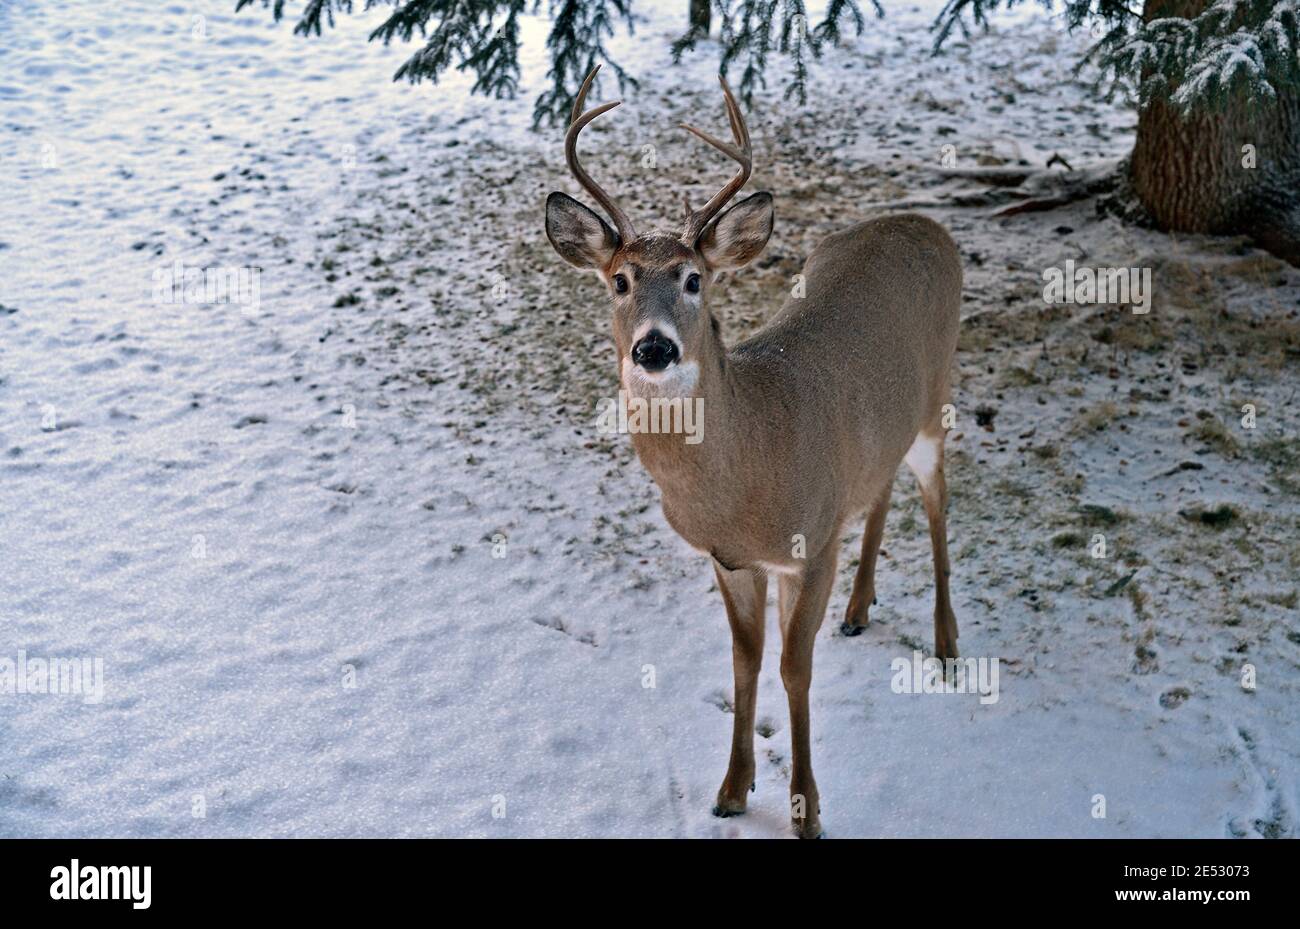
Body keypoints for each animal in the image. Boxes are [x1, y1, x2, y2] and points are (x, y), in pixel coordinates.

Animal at [544, 66, 962, 839]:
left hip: (936, 395)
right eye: (619, 280)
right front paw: (732, 789)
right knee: (883, 484)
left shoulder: (810, 545)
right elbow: (746, 662)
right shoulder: (731, 559)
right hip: (881, 432)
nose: (654, 348)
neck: (747, 474)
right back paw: (861, 608)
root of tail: (926, 223)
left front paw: (807, 811)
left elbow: (795, 668)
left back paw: (948, 644)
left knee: (937, 494)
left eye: (693, 278)